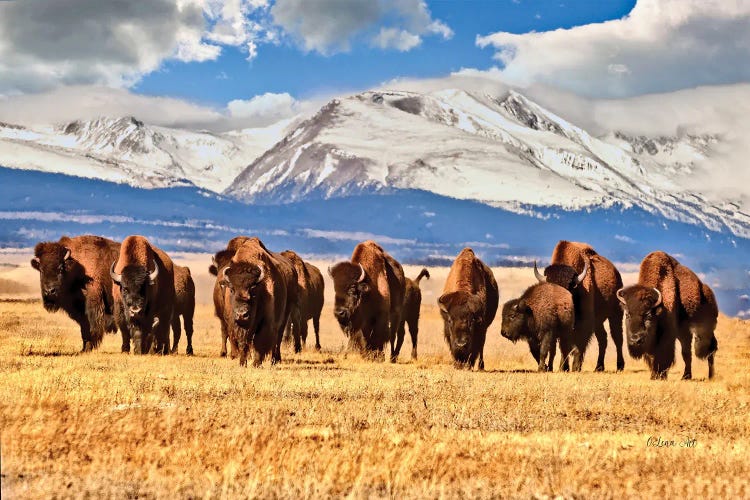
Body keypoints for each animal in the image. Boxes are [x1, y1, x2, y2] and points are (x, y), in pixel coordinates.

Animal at [219, 236, 298, 366]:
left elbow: (259, 341)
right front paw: (242, 363)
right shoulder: (236, 324)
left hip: (285, 315)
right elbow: (243, 342)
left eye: (253, 289)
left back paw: (275, 360)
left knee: (277, 339)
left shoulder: (266, 321)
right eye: (231, 289)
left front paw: (256, 363)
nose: (242, 314)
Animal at [536, 240, 624, 374]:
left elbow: (578, 345)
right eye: (550, 289)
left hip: (615, 314)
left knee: (617, 337)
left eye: (569, 288)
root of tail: (616, 272)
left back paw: (619, 366)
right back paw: (599, 367)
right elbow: (564, 345)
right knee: (603, 339)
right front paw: (564, 367)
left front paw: (575, 367)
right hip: (598, 322)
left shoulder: (584, 324)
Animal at [620, 252, 720, 380]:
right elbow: (652, 357)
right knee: (689, 352)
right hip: (685, 333)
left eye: (648, 315)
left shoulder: (667, 336)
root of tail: (708, 291)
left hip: (705, 329)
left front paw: (660, 376)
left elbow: (663, 356)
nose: (635, 340)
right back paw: (688, 376)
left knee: (709, 349)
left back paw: (709, 376)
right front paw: (654, 376)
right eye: (627, 315)